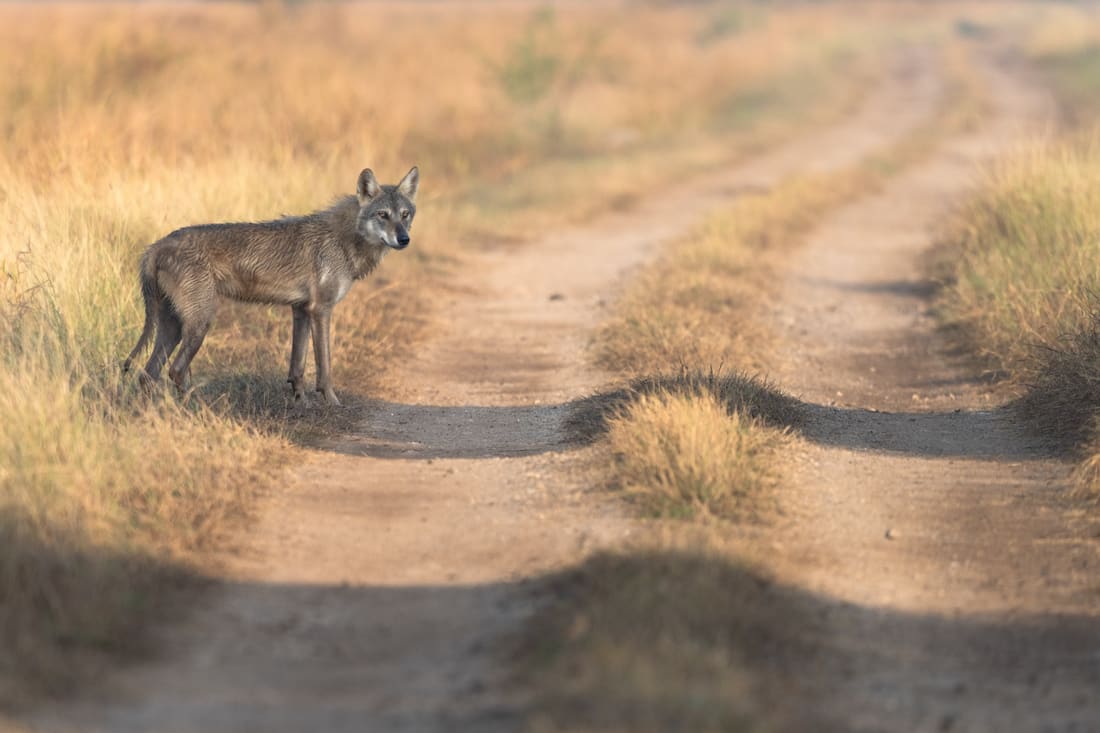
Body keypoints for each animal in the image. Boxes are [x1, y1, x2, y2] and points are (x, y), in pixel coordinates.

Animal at [122, 166, 419, 406]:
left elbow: (297, 366)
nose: (404, 239)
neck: (344, 240)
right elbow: (324, 366)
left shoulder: (301, 310)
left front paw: (301, 402)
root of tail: (156, 246)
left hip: (173, 328)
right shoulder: (321, 310)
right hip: (199, 324)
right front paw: (332, 403)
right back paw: (196, 409)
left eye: (405, 215)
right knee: (175, 370)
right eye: (383, 215)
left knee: (148, 374)